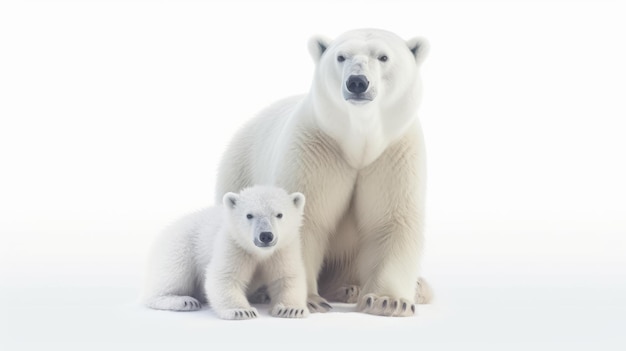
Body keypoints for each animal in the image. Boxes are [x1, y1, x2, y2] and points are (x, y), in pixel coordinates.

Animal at [216, 28, 428, 318]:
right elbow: (307, 219)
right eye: (341, 56)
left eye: (383, 57)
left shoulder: (394, 153)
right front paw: (309, 300)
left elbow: (391, 219)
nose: (357, 82)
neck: (358, 141)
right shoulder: (315, 148)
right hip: (239, 172)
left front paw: (388, 301)